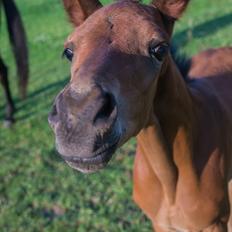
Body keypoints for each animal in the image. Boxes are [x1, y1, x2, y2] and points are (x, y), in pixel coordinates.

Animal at [49, 0, 232, 231]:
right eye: (68, 51)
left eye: (160, 49)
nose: (76, 119)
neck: (169, 182)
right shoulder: (159, 223)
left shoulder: (213, 223)